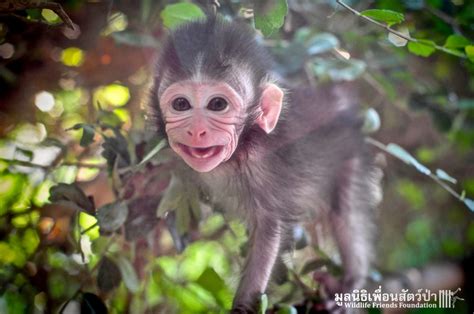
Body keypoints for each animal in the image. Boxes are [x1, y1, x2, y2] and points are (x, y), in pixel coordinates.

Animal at [150, 16, 384, 312]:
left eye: (217, 104)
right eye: (181, 104)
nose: (196, 131)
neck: (239, 151)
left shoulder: (261, 167)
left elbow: (269, 229)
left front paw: (243, 306)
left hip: (350, 154)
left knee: (346, 210)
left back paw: (351, 280)